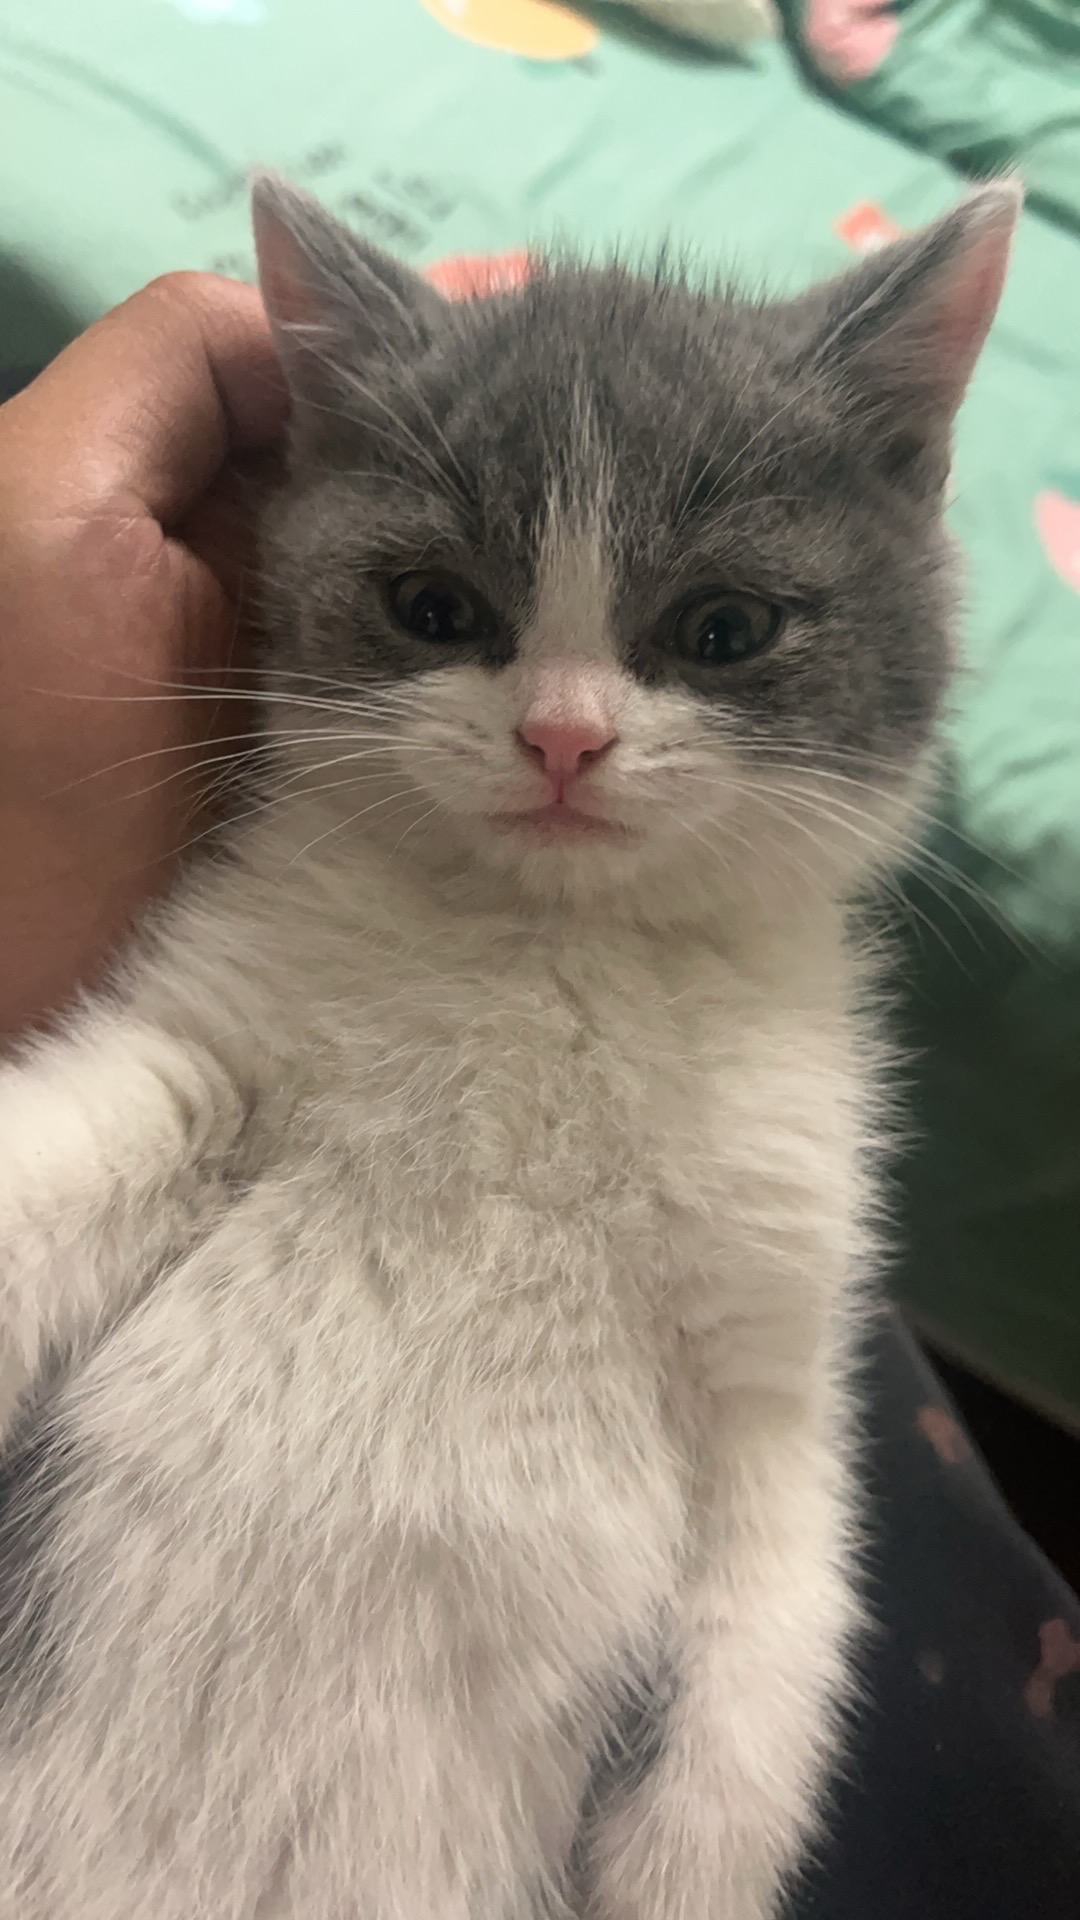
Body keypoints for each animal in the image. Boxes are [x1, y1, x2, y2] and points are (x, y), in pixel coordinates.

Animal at [0, 175, 1016, 1919]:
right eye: (435, 608)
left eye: (724, 626)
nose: (562, 737)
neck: (551, 952)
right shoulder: (211, 1049)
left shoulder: (778, 1324)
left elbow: (782, 1602)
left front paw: (686, 1864)